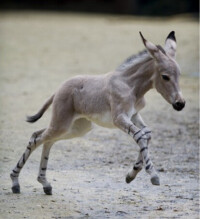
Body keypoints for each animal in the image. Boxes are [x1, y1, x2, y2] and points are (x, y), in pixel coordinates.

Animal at [10, 31, 186, 195]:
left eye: (179, 75)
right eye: (165, 76)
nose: (180, 104)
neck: (130, 85)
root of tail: (58, 89)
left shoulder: (134, 114)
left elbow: (147, 134)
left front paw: (132, 174)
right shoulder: (119, 118)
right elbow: (140, 136)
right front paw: (152, 175)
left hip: (75, 128)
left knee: (46, 140)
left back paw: (45, 184)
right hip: (62, 124)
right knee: (36, 139)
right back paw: (15, 182)